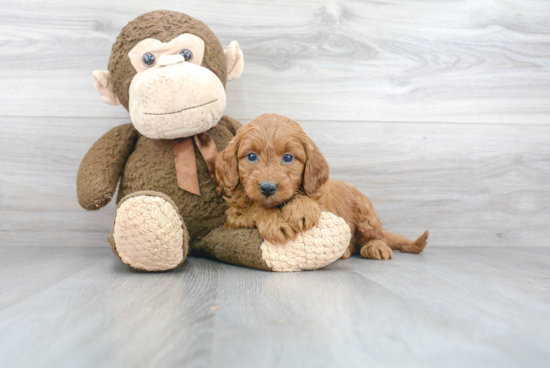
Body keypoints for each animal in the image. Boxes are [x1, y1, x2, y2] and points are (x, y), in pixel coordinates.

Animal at [217, 113, 432, 260]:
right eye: (251, 156)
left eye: (288, 157)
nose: (268, 188)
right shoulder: (233, 216)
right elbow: (255, 208)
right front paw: (276, 222)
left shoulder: (324, 206)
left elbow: (306, 199)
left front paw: (302, 209)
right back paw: (345, 251)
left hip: (366, 215)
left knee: (374, 236)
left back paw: (376, 247)